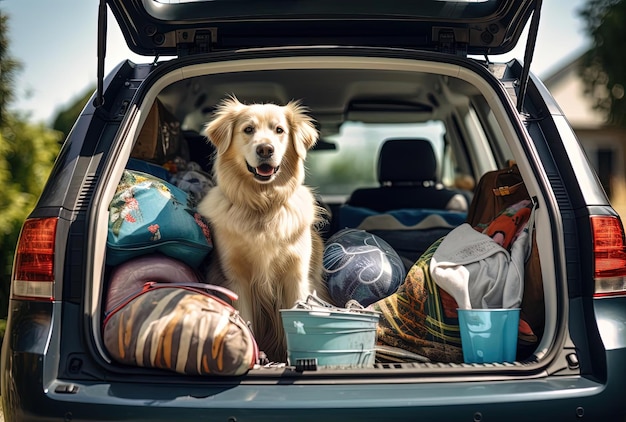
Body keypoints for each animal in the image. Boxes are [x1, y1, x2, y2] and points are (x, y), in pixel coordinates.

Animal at [197, 96, 332, 362]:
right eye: (248, 129)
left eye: (279, 130)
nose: (265, 150)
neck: (263, 205)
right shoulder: (236, 279)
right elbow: (244, 319)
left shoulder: (296, 276)